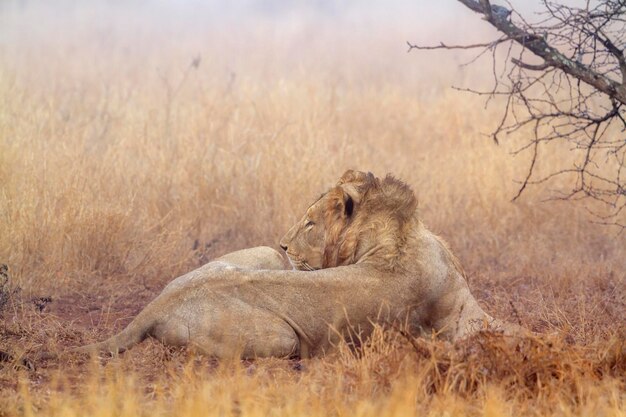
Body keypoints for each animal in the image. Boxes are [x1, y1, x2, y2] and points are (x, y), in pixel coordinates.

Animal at [42, 171, 512, 360]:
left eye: (310, 222)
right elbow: (505, 330)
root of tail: (158, 304)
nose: (284, 243)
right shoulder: (462, 316)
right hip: (282, 336)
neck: (395, 238)